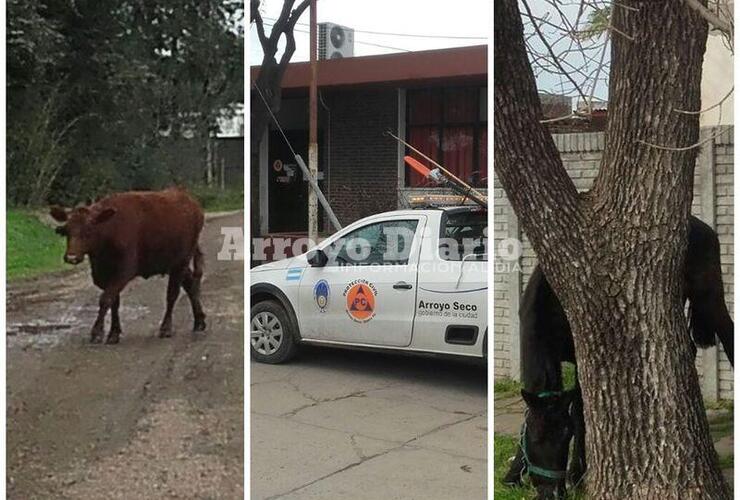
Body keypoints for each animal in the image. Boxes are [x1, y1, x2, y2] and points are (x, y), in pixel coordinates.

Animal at [49, 188, 207, 344]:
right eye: (67, 230)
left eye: (89, 230)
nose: (71, 257)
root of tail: (189, 200)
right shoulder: (104, 274)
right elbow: (114, 301)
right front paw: (114, 332)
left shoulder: (124, 271)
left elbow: (105, 299)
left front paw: (97, 332)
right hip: (174, 263)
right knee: (190, 285)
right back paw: (199, 321)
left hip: (181, 262)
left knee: (172, 294)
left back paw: (166, 328)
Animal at [502, 217, 736, 500]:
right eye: (535, 439)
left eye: (566, 436)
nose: (553, 493)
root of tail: (703, 226)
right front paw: (513, 474)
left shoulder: (583, 357)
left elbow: (580, 413)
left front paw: (577, 474)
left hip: (710, 297)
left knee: (729, 335)